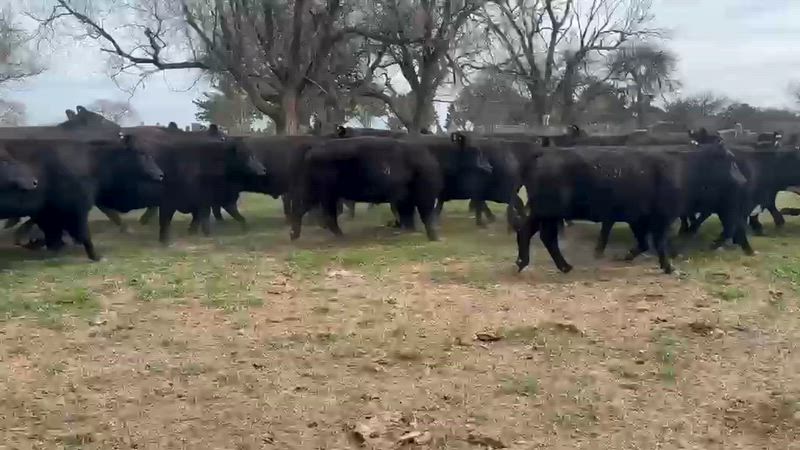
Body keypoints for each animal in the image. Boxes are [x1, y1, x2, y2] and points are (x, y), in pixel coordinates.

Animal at [288, 136, 443, 241]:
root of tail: (310, 154)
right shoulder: (418, 196)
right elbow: (423, 214)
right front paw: (434, 237)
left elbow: (409, 215)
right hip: (322, 192)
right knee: (318, 213)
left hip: (320, 193)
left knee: (313, 212)